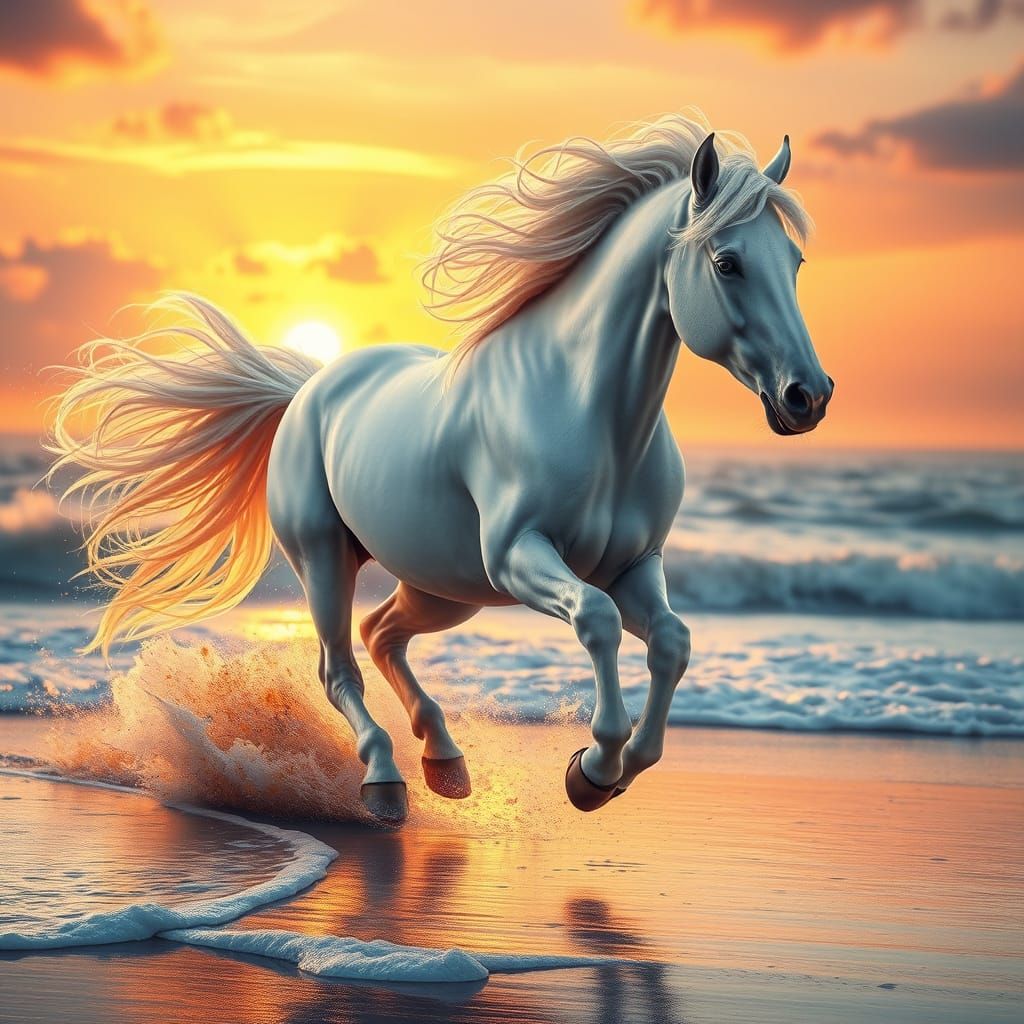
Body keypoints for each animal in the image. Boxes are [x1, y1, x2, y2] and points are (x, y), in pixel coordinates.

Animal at [48, 113, 832, 822]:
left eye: (794, 264)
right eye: (727, 262)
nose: (808, 396)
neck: (591, 418)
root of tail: (307, 389)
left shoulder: (635, 564)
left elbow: (672, 641)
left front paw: (608, 773)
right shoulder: (520, 555)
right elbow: (598, 621)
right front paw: (594, 765)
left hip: (446, 584)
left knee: (383, 634)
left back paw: (446, 763)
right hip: (328, 558)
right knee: (339, 665)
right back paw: (385, 782)